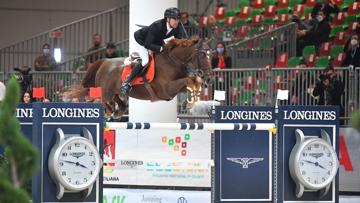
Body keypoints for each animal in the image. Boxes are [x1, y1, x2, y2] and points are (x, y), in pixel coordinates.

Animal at [64, 37, 214, 118]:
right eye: (202, 54)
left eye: (211, 54)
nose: (210, 78)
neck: (173, 60)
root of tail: (105, 61)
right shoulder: (167, 89)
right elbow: (190, 80)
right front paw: (190, 103)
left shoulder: (177, 87)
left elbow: (194, 81)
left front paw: (191, 102)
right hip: (105, 92)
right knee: (104, 101)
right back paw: (111, 111)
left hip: (115, 91)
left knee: (118, 101)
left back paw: (118, 111)